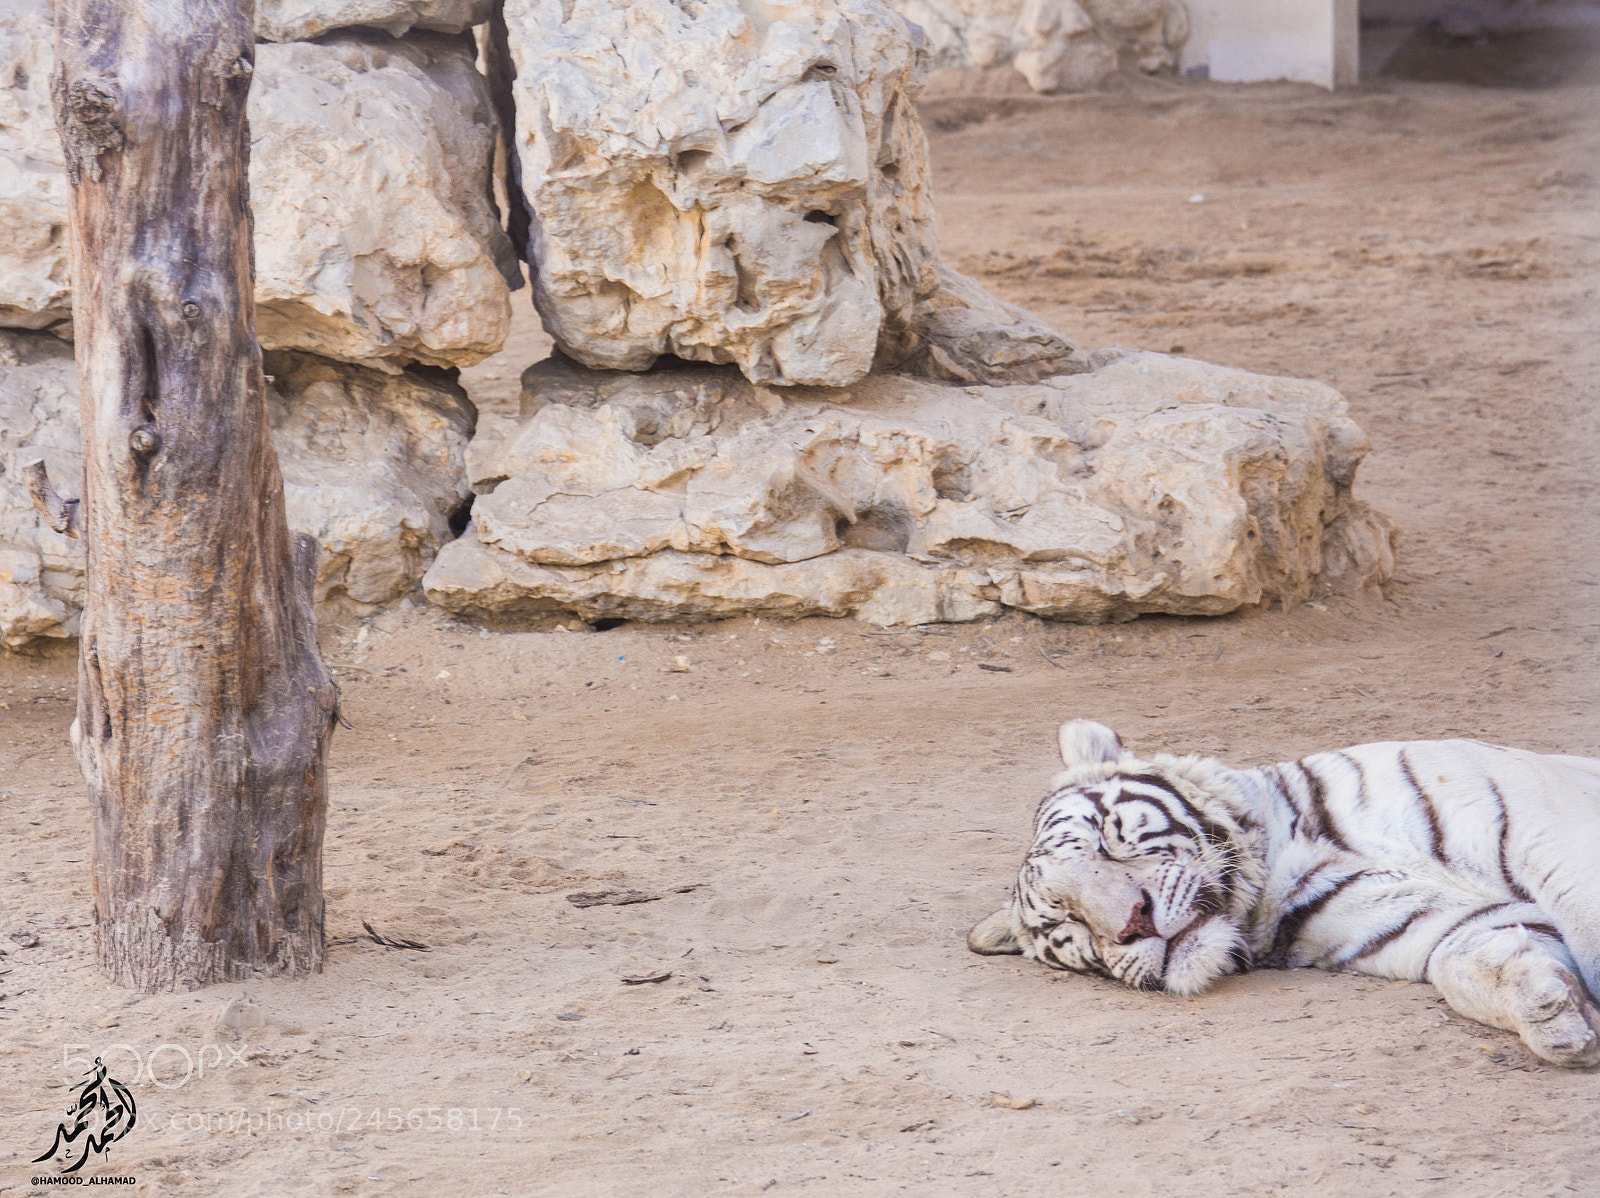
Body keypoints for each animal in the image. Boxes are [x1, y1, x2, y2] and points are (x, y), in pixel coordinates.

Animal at [967, 719, 1600, 1067]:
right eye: (1067, 922)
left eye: (1104, 837)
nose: (1134, 923)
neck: (1278, 870)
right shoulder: (1430, 921)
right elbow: (1465, 962)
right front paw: (1555, 1014)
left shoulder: (1549, 833)